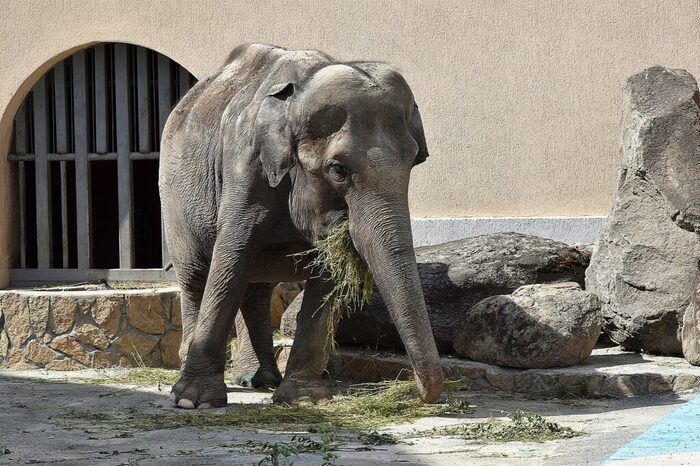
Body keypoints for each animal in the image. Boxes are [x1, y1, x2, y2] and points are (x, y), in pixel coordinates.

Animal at [159, 43, 442, 408]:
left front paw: (304, 399)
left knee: (255, 288)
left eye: (414, 162)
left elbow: (326, 275)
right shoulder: (245, 169)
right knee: (197, 276)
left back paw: (260, 380)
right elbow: (229, 261)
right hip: (174, 200)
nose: (417, 391)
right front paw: (195, 401)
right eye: (337, 170)